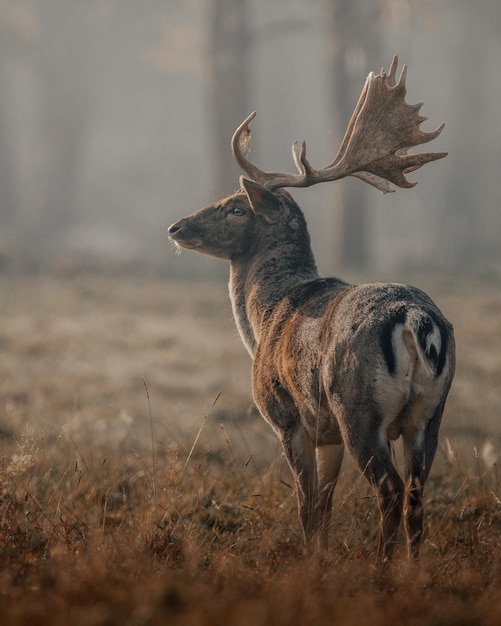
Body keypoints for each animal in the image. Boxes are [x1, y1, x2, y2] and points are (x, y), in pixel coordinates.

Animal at [168, 56, 454, 560]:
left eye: (236, 208)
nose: (176, 226)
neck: (266, 318)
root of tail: (416, 321)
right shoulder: (328, 434)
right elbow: (324, 506)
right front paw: (320, 559)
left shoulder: (288, 416)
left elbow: (306, 506)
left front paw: (309, 564)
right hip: (429, 414)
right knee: (417, 498)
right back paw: (412, 571)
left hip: (358, 408)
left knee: (390, 491)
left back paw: (381, 570)